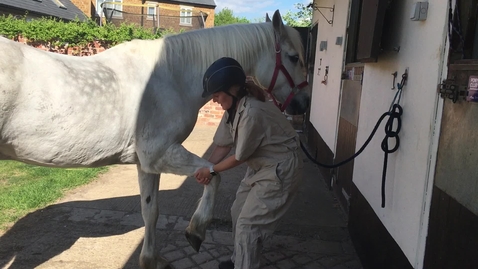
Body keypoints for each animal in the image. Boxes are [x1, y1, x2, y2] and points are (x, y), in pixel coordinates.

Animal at [0, 9, 310, 268]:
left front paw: (151, 259)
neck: (172, 75)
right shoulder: (160, 154)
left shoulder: (146, 164)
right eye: (294, 57)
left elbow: (151, 210)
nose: (303, 104)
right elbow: (214, 176)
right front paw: (196, 231)